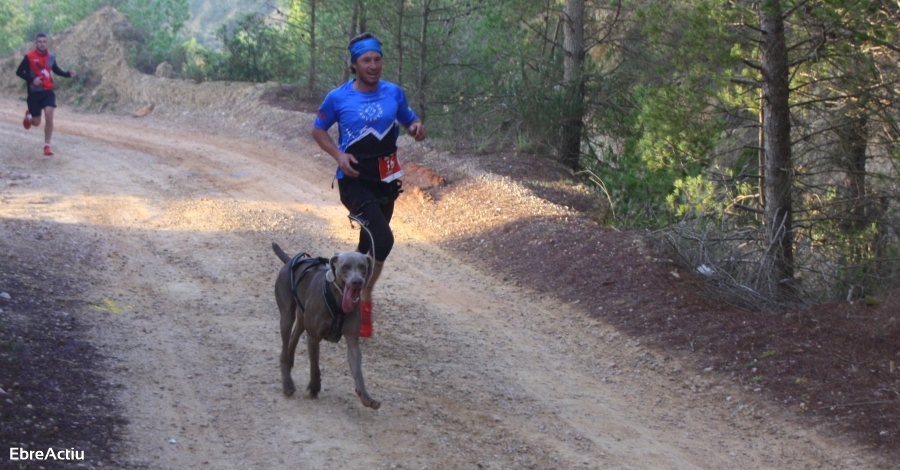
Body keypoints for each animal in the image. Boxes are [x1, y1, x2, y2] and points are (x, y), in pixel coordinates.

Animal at [268, 244, 378, 410]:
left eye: (363, 267)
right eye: (345, 267)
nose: (357, 281)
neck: (338, 302)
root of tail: (290, 262)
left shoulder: (352, 341)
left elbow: (358, 371)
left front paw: (366, 396)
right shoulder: (313, 337)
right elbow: (315, 367)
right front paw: (314, 387)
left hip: (302, 314)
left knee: (294, 335)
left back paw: (290, 360)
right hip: (287, 314)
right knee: (285, 345)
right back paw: (287, 383)